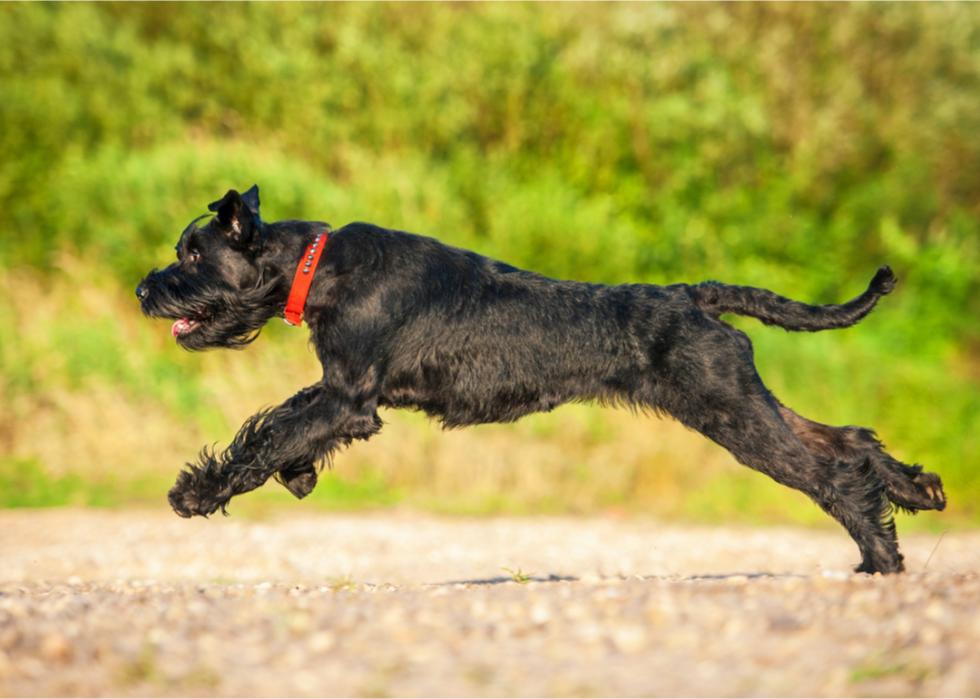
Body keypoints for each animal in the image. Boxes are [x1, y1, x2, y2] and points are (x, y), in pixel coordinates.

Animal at [134, 185, 944, 576]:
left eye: (193, 254)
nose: (145, 289)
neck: (316, 264)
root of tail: (693, 296)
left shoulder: (348, 394)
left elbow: (270, 431)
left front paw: (196, 492)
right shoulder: (343, 392)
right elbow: (281, 424)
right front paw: (297, 474)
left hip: (730, 412)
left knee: (826, 470)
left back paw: (880, 556)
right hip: (742, 402)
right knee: (846, 438)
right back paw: (918, 490)